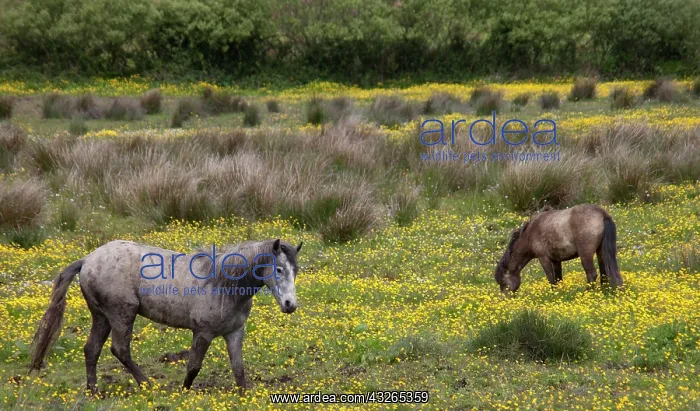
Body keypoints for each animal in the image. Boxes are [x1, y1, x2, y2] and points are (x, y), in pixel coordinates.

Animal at [29, 238, 302, 394]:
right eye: (279, 269)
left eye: (296, 270)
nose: (290, 305)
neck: (224, 284)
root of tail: (87, 259)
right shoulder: (203, 332)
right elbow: (193, 366)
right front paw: (183, 393)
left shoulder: (234, 333)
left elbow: (238, 369)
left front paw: (244, 395)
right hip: (122, 314)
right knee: (120, 350)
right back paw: (148, 385)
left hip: (102, 316)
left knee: (91, 350)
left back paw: (94, 392)